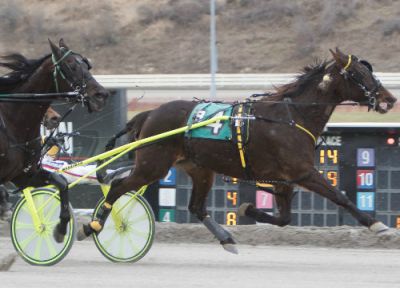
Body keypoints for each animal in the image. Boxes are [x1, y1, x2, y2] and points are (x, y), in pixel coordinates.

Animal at [0, 37, 108, 241]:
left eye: (86, 65)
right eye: (71, 65)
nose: (101, 95)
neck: (11, 121)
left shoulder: (24, 175)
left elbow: (62, 182)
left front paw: (61, 228)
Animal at [79, 48, 396, 253]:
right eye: (357, 73)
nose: (389, 98)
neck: (291, 117)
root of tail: (149, 114)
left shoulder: (286, 178)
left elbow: (284, 218)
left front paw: (248, 208)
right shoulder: (304, 172)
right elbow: (340, 196)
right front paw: (377, 224)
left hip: (199, 168)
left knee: (196, 207)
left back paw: (226, 238)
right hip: (153, 164)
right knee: (118, 187)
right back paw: (92, 226)